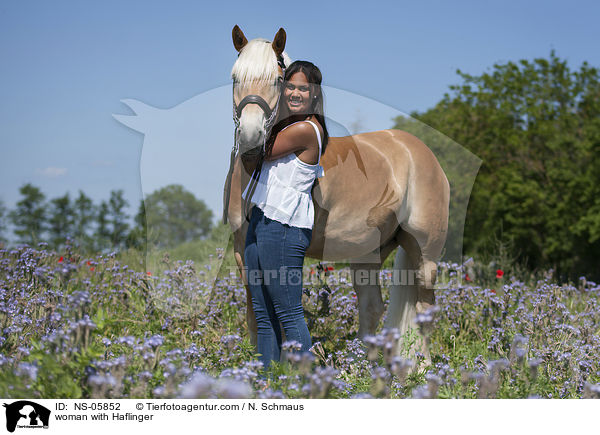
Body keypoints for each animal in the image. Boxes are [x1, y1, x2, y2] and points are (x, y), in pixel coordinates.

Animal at [225, 25, 450, 362]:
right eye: (235, 77)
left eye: (278, 79)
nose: (251, 135)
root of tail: (420, 152)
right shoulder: (243, 248)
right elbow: (255, 314)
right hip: (368, 253)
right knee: (371, 307)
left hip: (425, 253)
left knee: (424, 310)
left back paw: (420, 368)